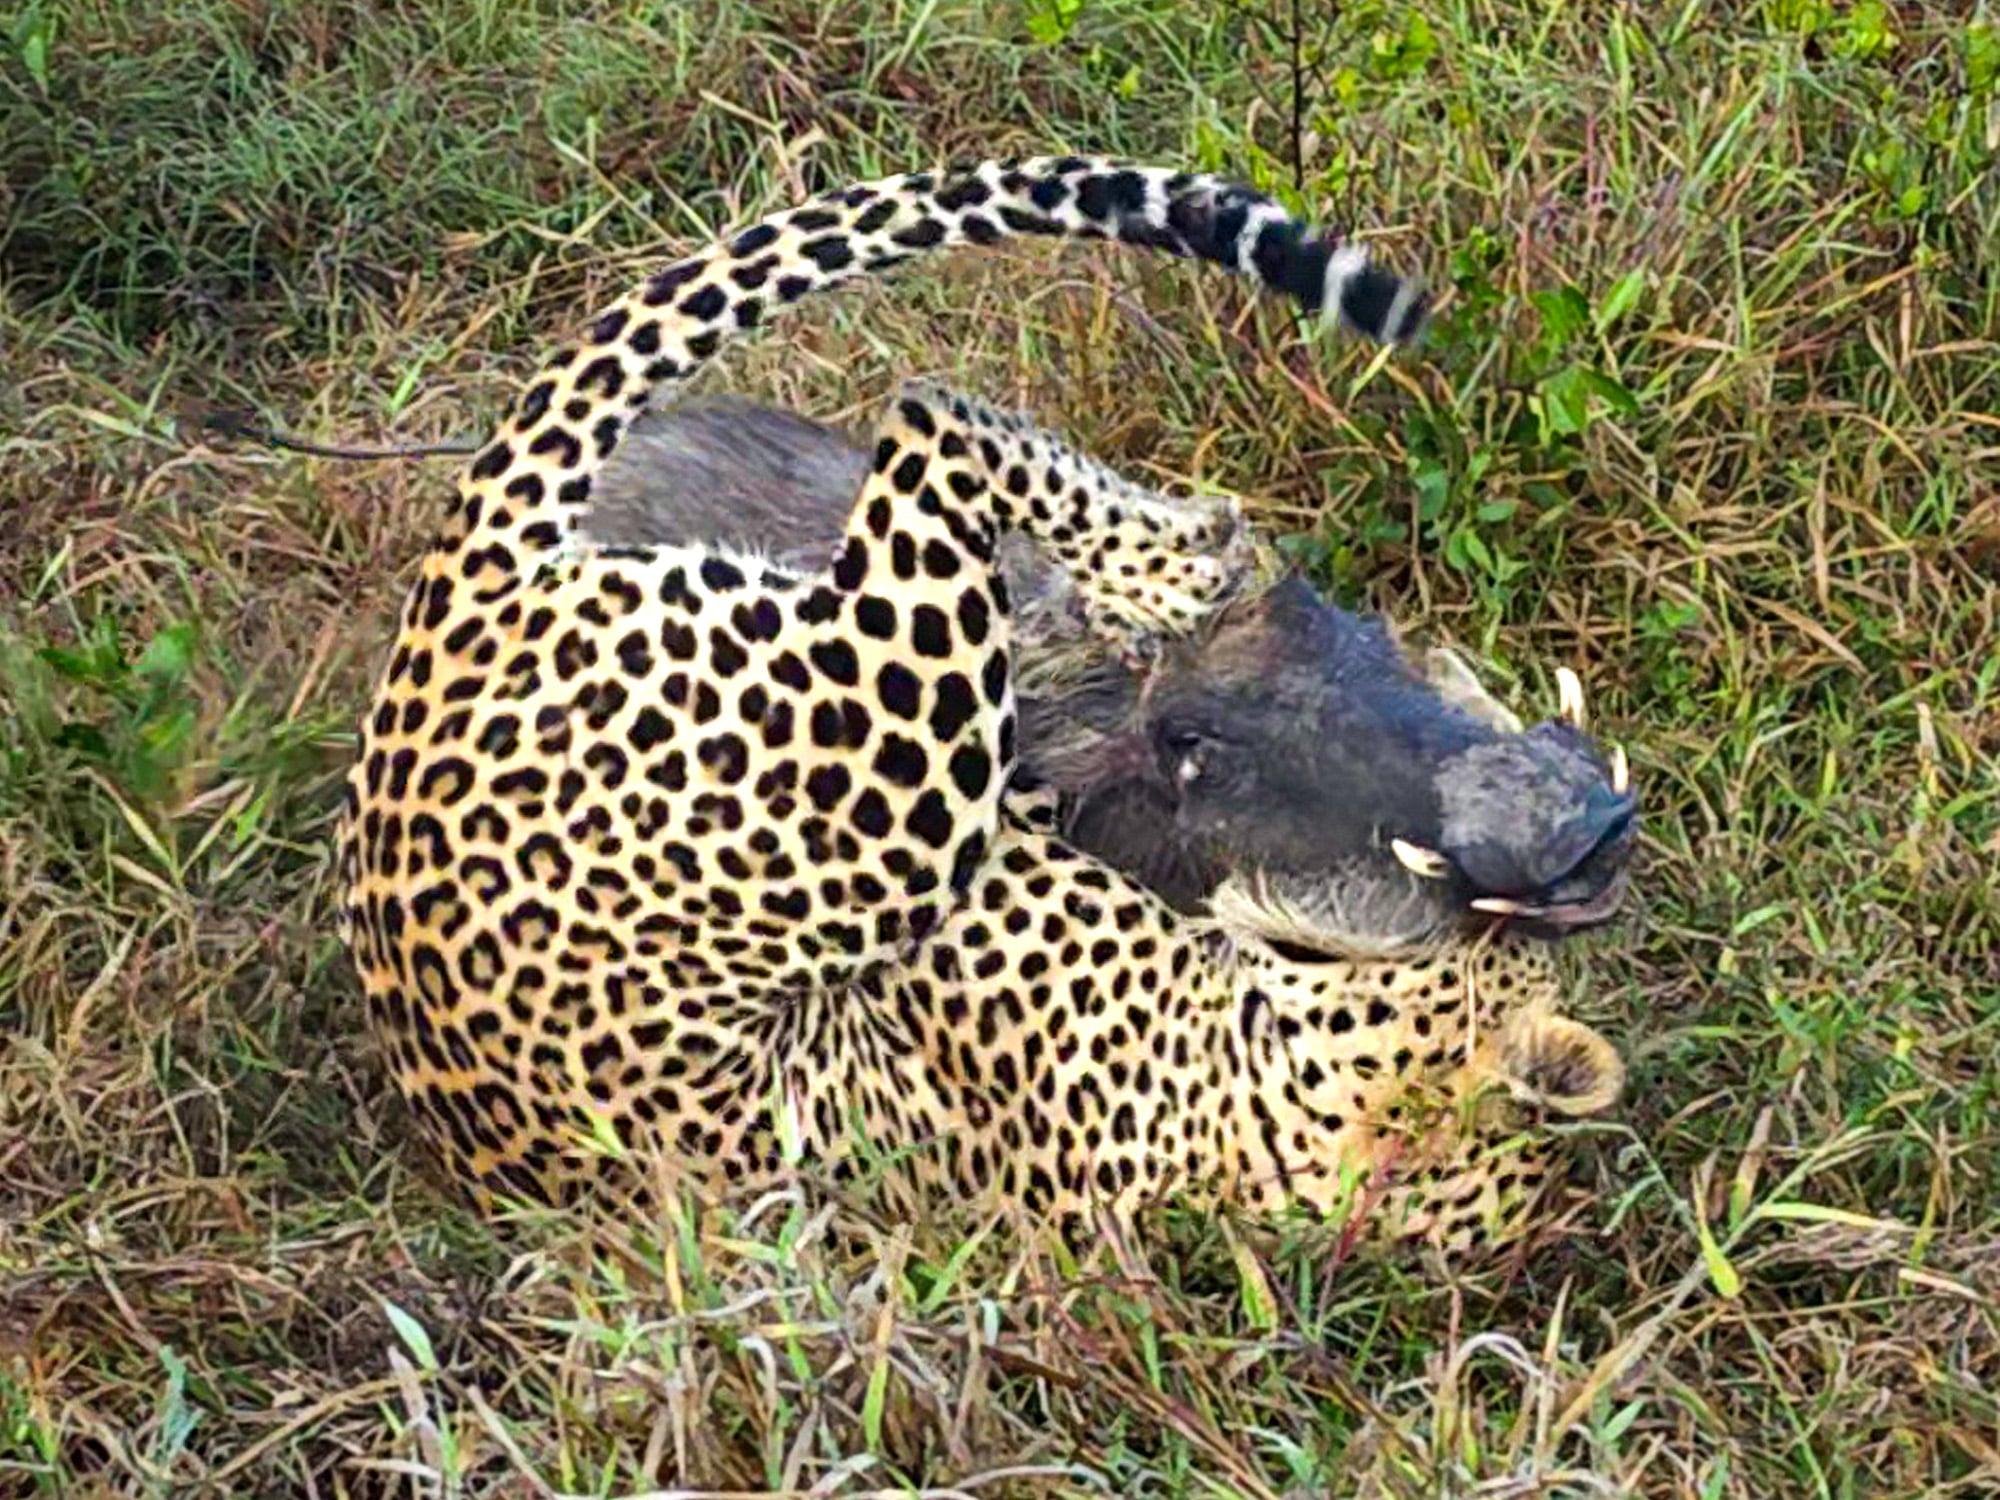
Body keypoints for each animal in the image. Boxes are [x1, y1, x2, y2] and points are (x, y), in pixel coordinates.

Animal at [335, 155, 1634, 1258]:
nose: (1574, 821)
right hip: (891, 780)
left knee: (930, 421)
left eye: (1347, 613)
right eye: (1192, 748)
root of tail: (461, 590)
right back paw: (1183, 558)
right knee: (932, 415)